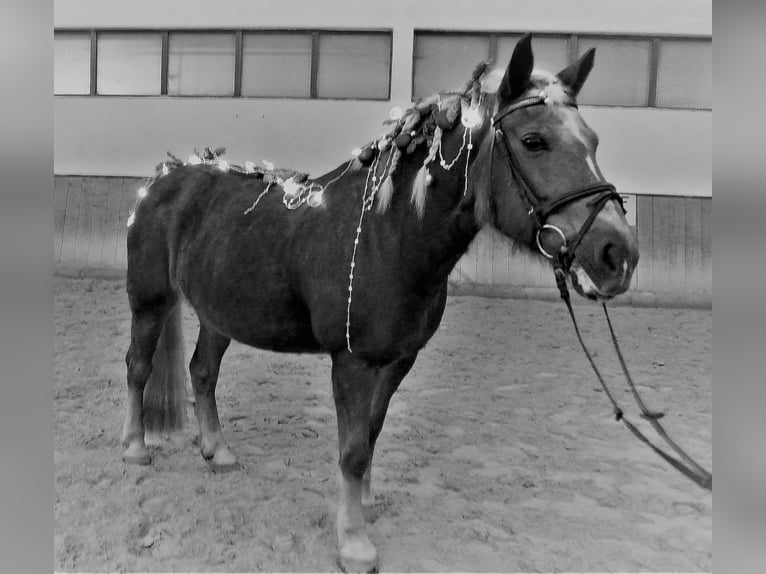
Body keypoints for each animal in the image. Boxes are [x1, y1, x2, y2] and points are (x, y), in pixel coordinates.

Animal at [123, 33, 640, 572]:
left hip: (217, 313)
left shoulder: (397, 361)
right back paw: (136, 449)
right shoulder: (353, 361)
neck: (388, 235)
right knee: (138, 366)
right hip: (150, 301)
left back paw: (218, 452)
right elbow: (352, 450)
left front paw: (364, 506)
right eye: (534, 141)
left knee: (203, 372)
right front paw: (353, 543)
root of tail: (163, 179)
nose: (619, 254)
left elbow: (370, 435)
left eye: (593, 142)